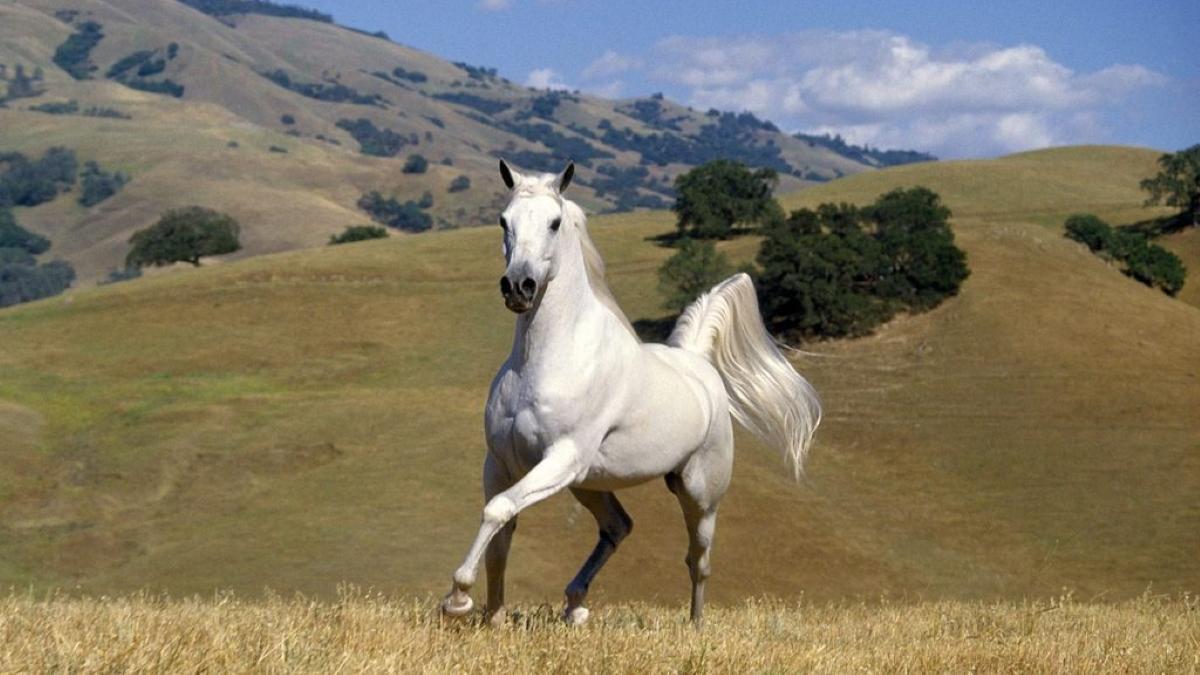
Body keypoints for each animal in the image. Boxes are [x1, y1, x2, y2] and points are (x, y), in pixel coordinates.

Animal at [444, 159, 825, 624]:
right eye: (504, 221)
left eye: (554, 223)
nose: (519, 286)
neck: (545, 360)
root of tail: (697, 362)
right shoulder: (501, 462)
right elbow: (501, 532)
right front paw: (492, 618)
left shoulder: (561, 457)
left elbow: (498, 510)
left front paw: (458, 599)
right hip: (587, 483)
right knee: (618, 526)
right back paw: (575, 606)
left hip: (698, 494)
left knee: (698, 560)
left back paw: (694, 626)